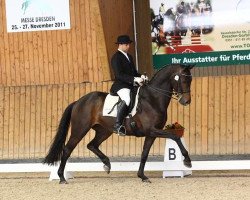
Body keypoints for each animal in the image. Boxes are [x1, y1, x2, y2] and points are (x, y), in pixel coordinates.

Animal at [44, 63, 194, 183]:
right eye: (183, 79)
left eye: (190, 79)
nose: (186, 101)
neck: (153, 99)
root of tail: (78, 102)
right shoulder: (152, 130)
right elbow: (175, 136)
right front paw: (187, 160)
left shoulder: (152, 133)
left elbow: (144, 154)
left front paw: (142, 176)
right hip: (80, 129)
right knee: (67, 149)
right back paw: (61, 177)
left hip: (104, 131)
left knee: (92, 145)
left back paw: (107, 164)